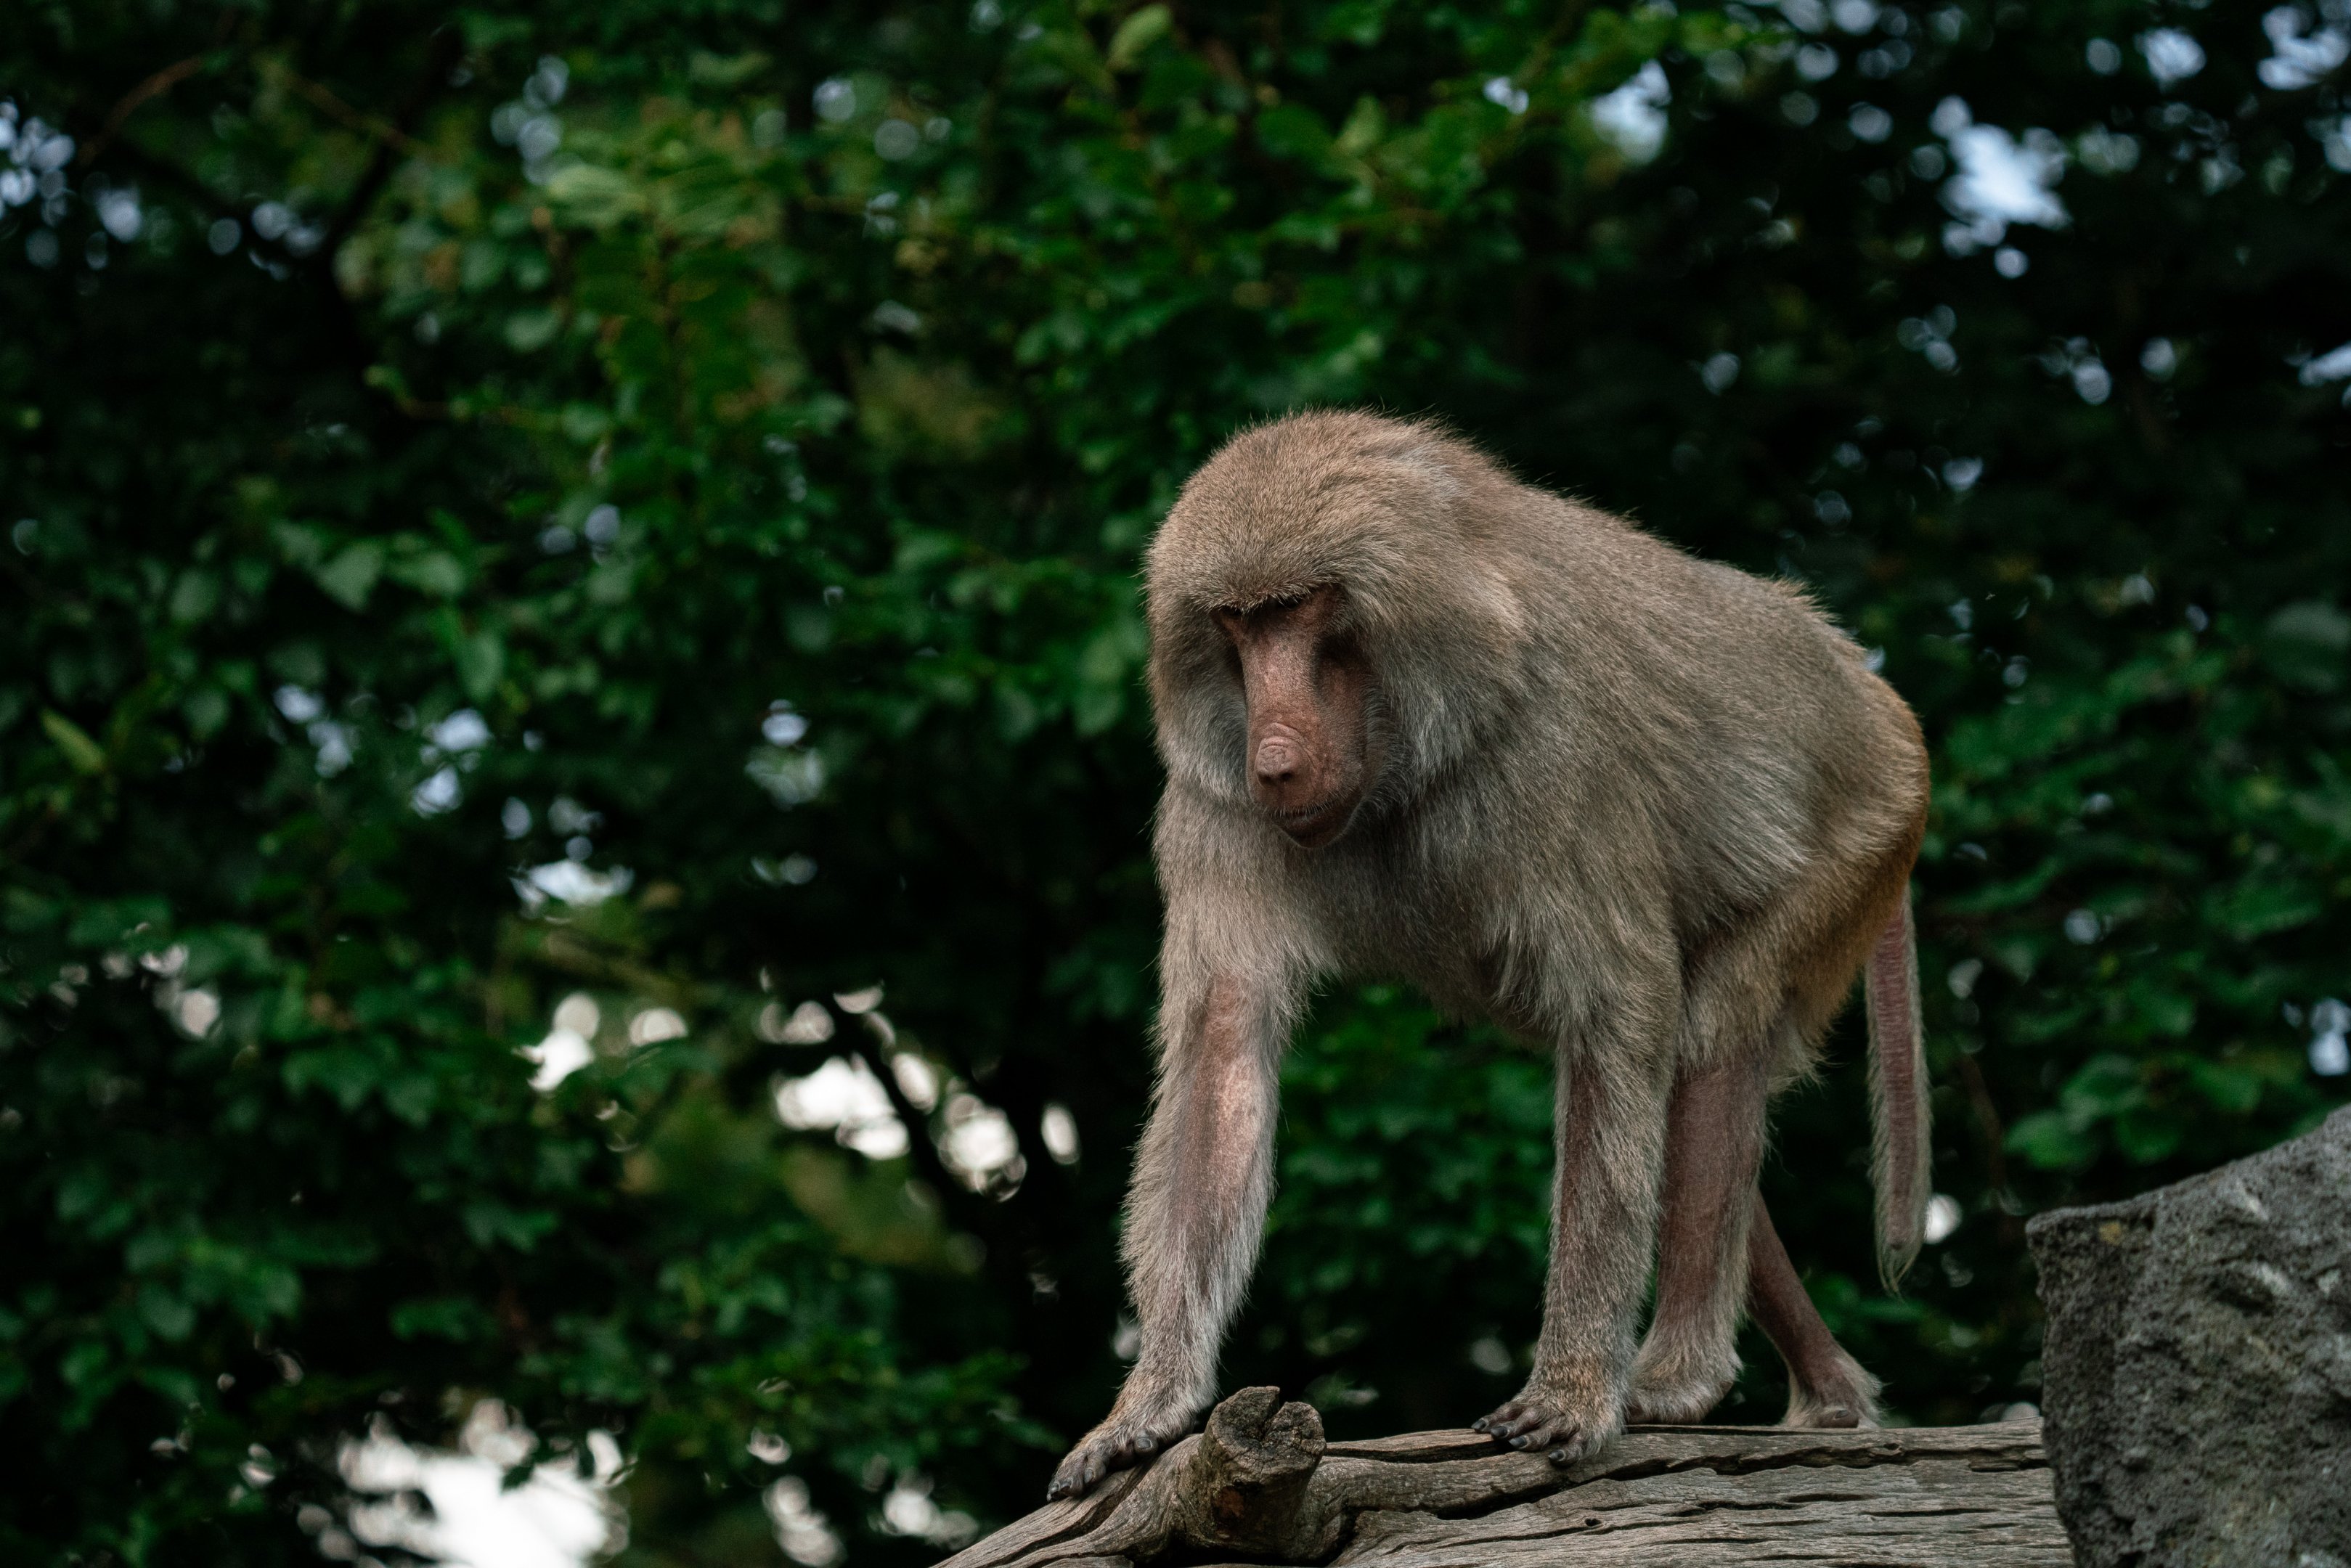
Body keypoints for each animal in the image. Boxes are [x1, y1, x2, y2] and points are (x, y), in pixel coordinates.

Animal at [1047, 410, 1929, 1501]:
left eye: (1303, 609)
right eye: (1237, 625)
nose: (1275, 760)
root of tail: (1873, 691)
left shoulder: (1561, 753)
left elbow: (1618, 1005)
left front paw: (1572, 1390)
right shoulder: (1216, 804)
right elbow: (1223, 1054)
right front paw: (1150, 1403)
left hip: (1862, 832)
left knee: (1712, 1023)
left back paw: (1677, 1379)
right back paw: (1829, 1393)